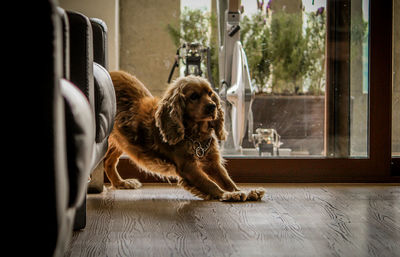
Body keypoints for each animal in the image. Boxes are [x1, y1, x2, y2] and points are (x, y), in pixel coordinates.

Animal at [104, 71, 264, 201]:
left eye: (210, 94)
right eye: (194, 96)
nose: (213, 106)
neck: (195, 136)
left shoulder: (212, 163)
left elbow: (227, 180)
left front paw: (244, 191)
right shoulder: (188, 167)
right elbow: (210, 184)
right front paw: (227, 194)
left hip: (121, 142)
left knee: (108, 162)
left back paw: (120, 183)